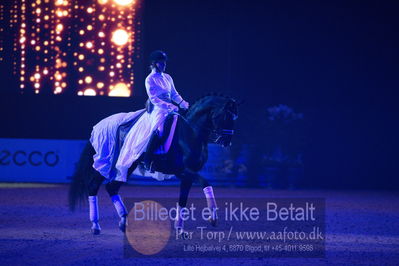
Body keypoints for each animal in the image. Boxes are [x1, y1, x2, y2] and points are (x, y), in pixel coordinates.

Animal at [69, 95, 239, 235]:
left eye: (235, 118)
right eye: (226, 116)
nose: (226, 141)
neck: (191, 132)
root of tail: (101, 124)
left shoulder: (187, 176)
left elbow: (183, 201)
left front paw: (180, 230)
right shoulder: (182, 170)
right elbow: (206, 183)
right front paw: (213, 217)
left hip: (127, 165)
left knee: (112, 188)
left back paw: (122, 223)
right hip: (108, 161)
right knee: (94, 186)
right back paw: (96, 225)